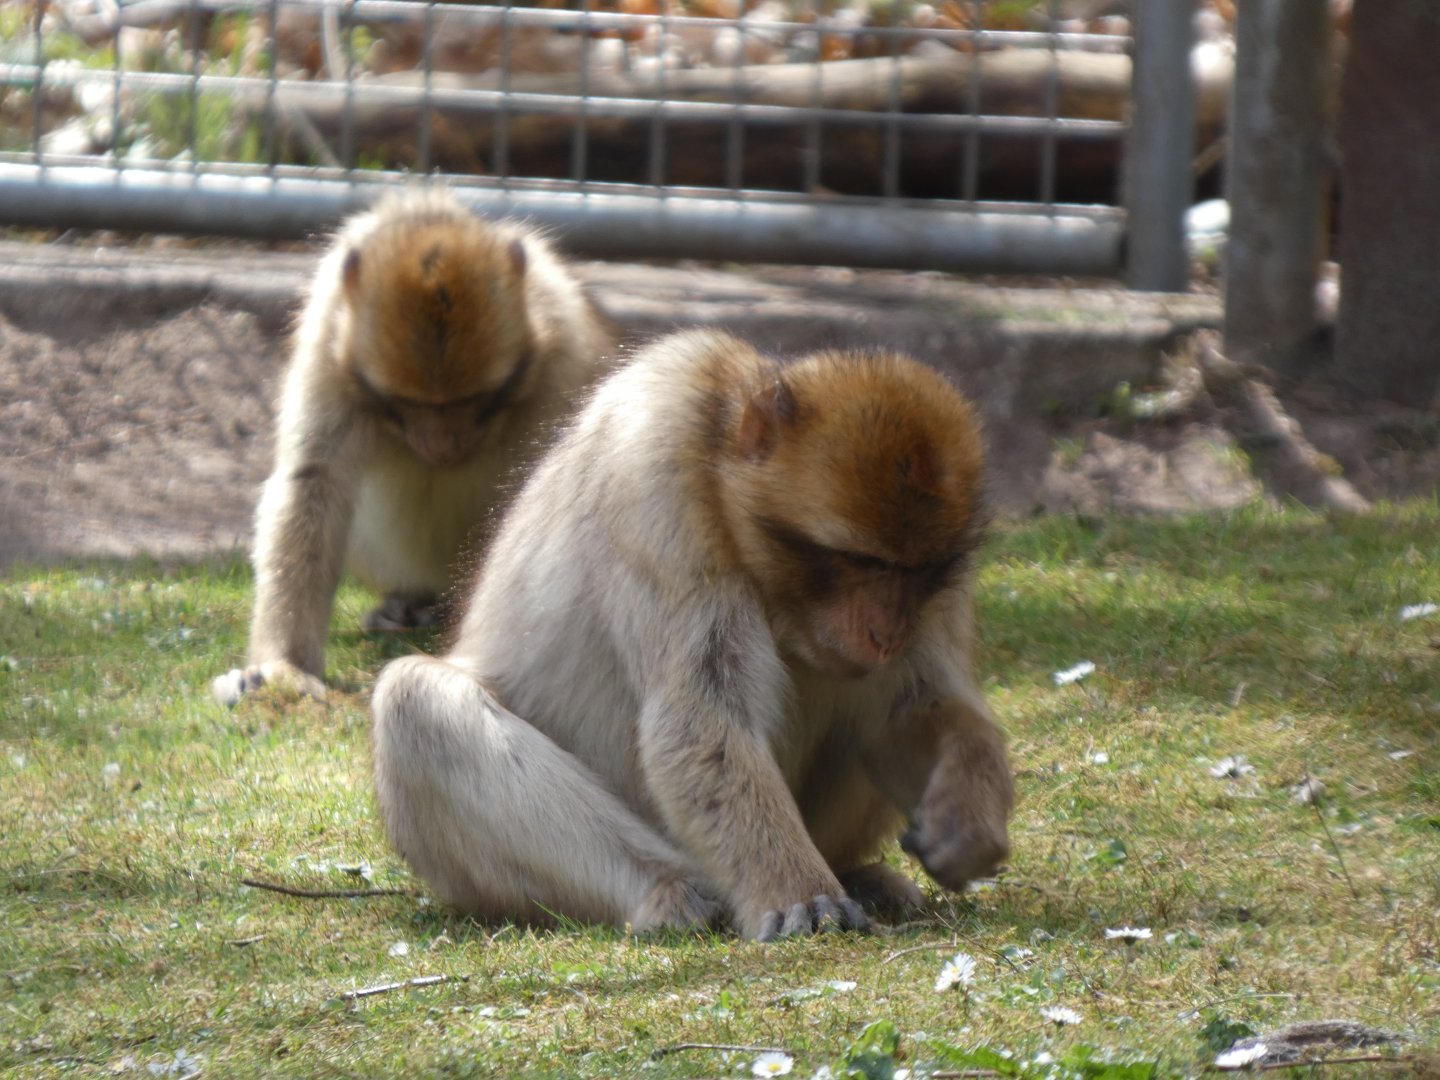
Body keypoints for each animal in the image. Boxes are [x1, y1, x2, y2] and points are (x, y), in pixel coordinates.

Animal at [214, 189, 617, 704]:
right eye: (407, 402)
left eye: (478, 401)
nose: (443, 448)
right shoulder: (327, 342)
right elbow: (313, 481)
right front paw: (285, 664)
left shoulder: (563, 357)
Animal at [370, 329, 1014, 940]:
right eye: (860, 561)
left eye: (921, 572)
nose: (885, 633)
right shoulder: (658, 484)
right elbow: (698, 723)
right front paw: (799, 893)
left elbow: (914, 708)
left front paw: (967, 814)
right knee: (414, 701)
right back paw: (672, 890)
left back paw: (853, 871)